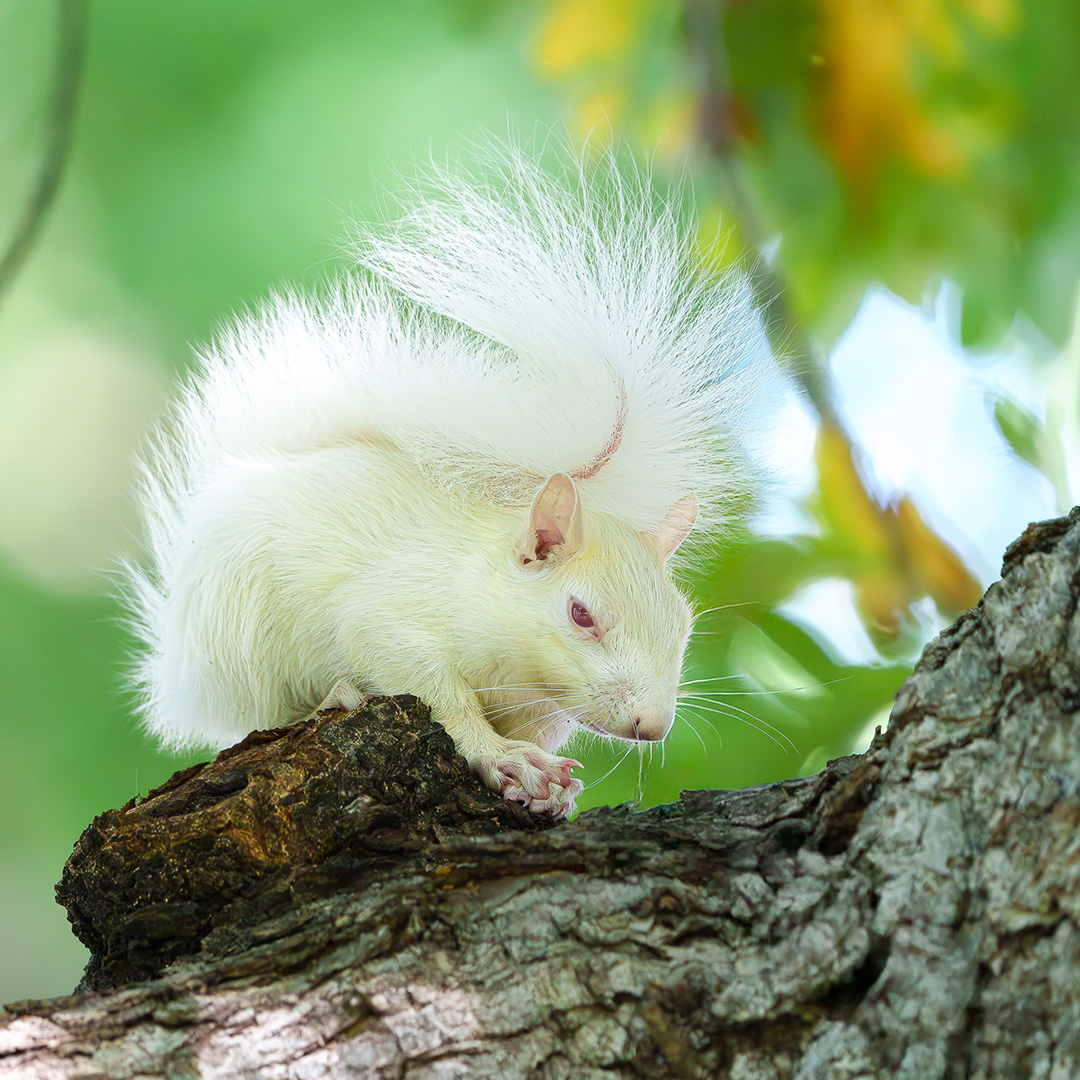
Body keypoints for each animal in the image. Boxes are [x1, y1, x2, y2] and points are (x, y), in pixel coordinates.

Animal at [125, 144, 766, 820]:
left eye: (684, 626)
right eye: (581, 614)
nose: (651, 725)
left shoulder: (540, 709)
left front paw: (552, 789)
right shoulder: (392, 617)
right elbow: (433, 692)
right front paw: (504, 757)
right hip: (242, 635)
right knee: (261, 712)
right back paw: (332, 694)